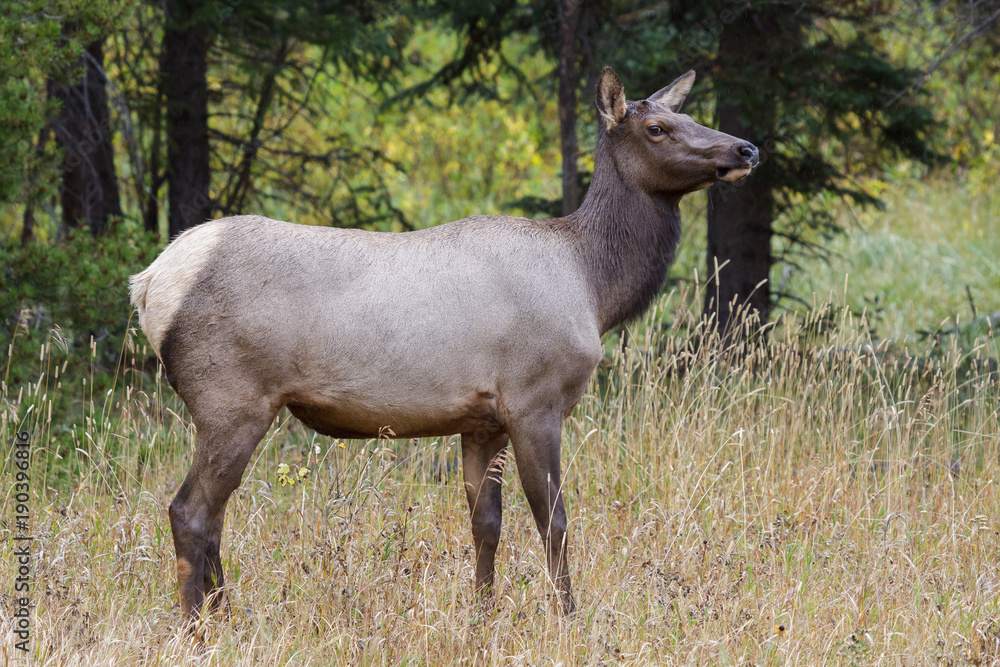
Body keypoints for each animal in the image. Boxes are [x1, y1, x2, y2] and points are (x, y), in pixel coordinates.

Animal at [129, 66, 758, 619]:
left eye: (689, 115)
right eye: (657, 128)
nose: (746, 149)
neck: (594, 285)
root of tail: (150, 283)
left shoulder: (483, 420)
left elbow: (486, 524)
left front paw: (482, 615)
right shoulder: (534, 398)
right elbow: (553, 522)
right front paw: (570, 619)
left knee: (212, 516)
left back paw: (223, 616)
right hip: (230, 397)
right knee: (190, 511)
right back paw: (198, 627)